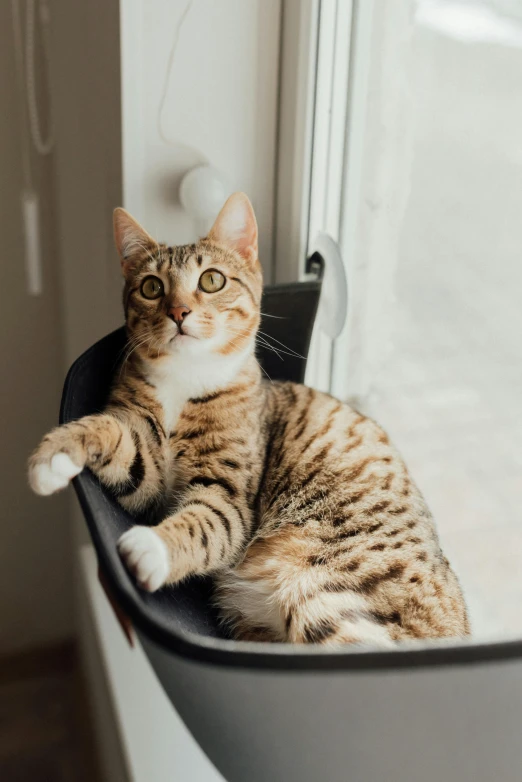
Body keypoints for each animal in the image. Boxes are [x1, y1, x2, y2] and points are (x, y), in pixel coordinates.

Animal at [28, 193, 468, 648]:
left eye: (212, 280)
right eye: (151, 287)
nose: (179, 311)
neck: (185, 380)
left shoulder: (229, 494)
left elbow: (205, 522)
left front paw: (150, 547)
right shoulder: (146, 470)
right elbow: (113, 432)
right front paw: (55, 455)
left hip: (323, 589)